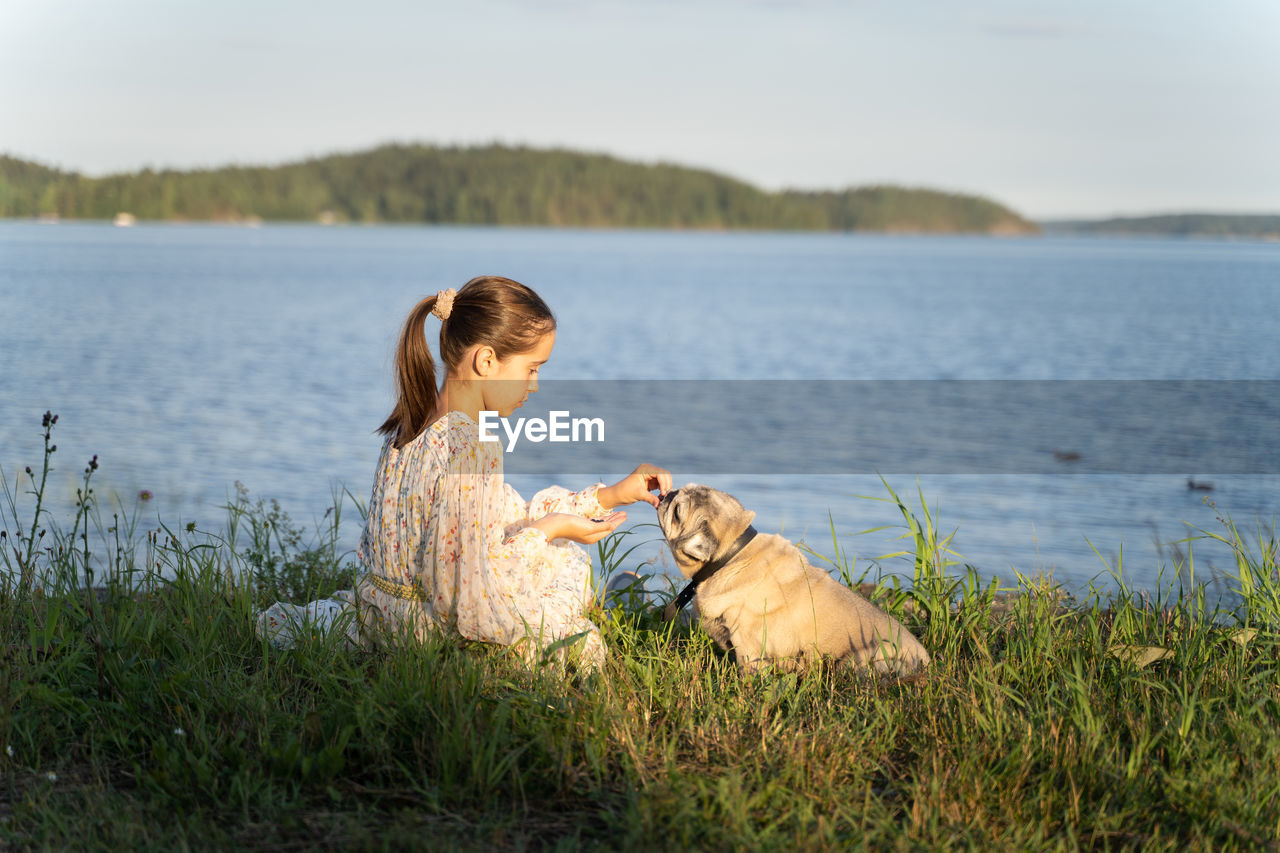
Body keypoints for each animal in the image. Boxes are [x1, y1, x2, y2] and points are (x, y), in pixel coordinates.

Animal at [660, 484, 931, 671]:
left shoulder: (750, 650)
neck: (732, 555)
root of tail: (926, 661)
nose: (668, 494)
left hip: (863, 658)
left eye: (677, 513)